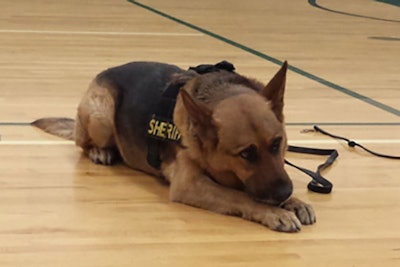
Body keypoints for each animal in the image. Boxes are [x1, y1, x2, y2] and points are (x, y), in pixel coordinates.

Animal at [32, 60, 316, 232]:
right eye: (246, 153)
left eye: (277, 143)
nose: (284, 193)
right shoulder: (190, 184)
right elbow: (240, 196)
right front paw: (272, 211)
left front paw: (293, 202)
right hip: (101, 113)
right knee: (84, 143)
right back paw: (101, 151)